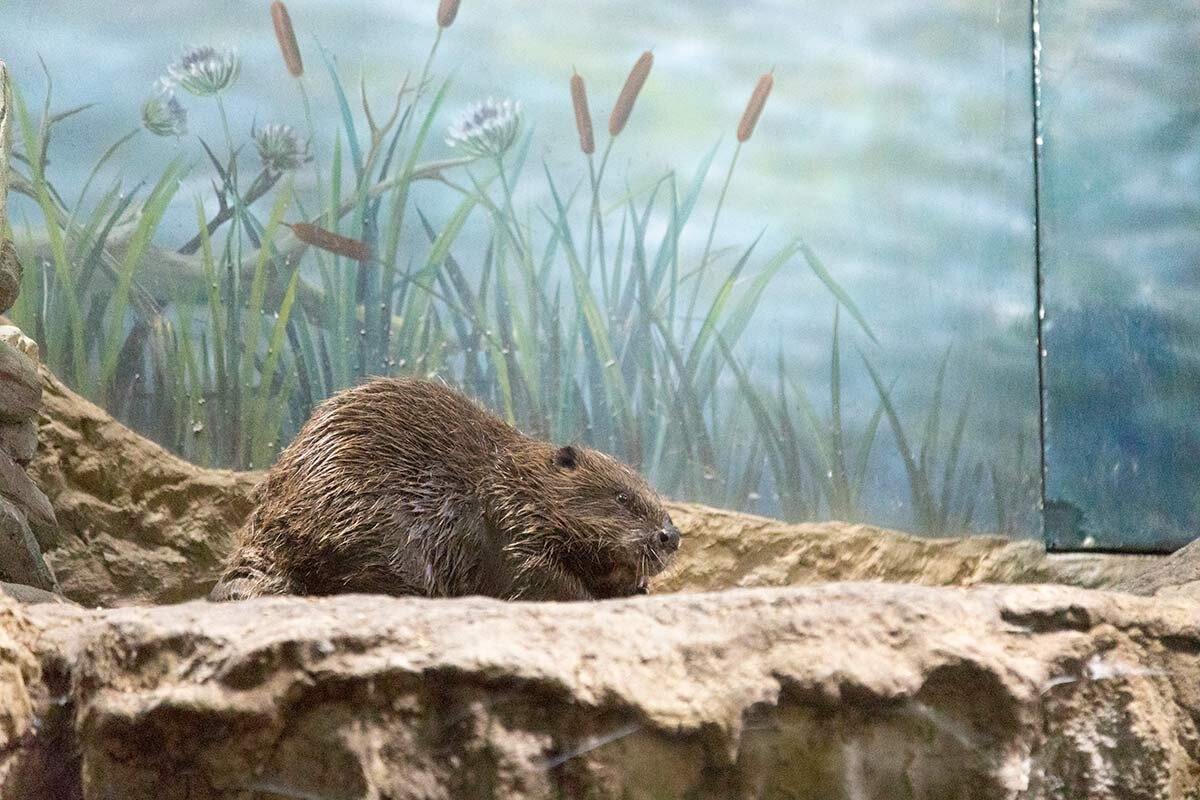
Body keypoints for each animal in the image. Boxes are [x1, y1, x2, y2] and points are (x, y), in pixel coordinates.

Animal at [210, 376, 681, 599]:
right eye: (623, 497)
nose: (671, 535)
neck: (507, 479)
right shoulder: (504, 524)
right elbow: (534, 578)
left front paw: (636, 586)